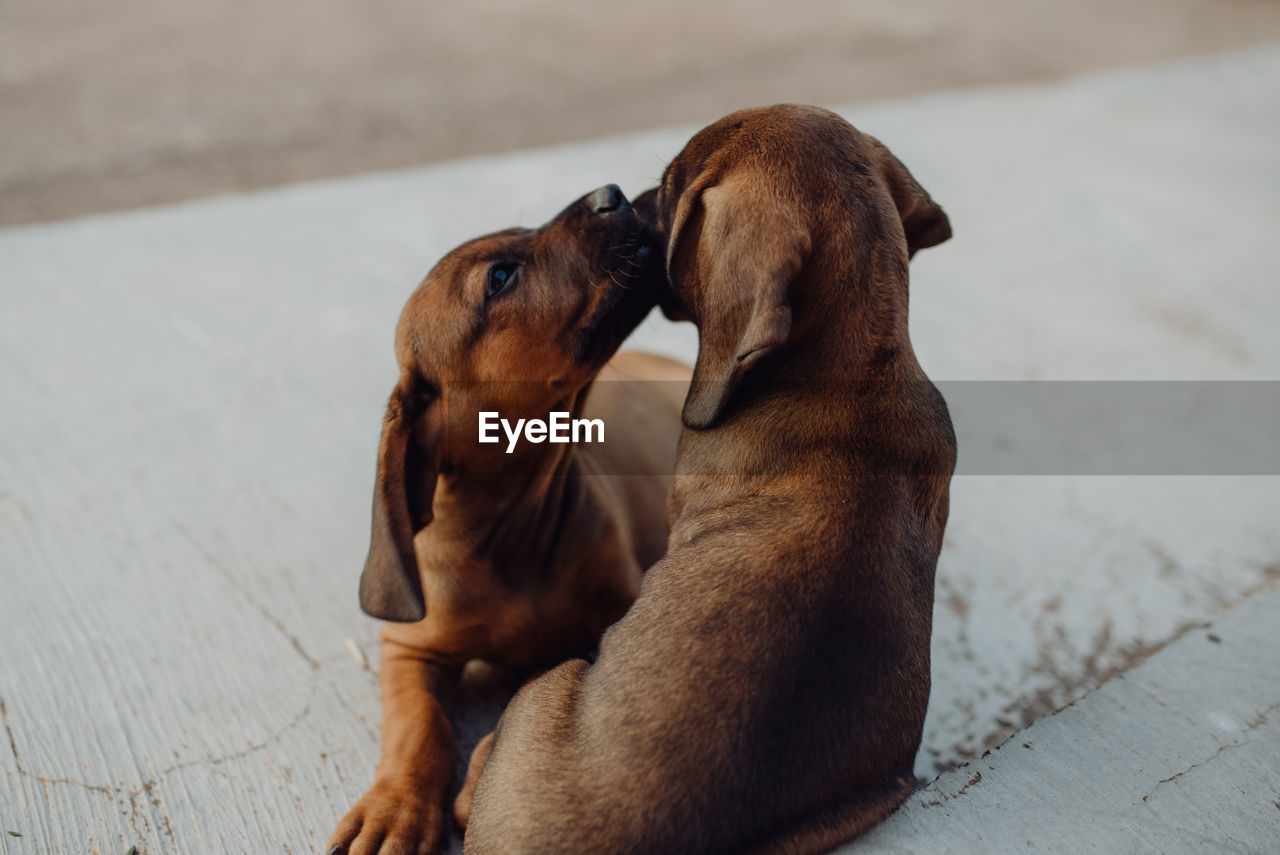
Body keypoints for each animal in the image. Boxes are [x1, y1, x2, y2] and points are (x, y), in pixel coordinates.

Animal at [327, 185, 691, 855]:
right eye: (500, 277)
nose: (613, 195)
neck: (504, 536)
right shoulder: (407, 649)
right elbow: (419, 726)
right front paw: (394, 806)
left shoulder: (610, 622)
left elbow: (534, 680)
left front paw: (488, 772)